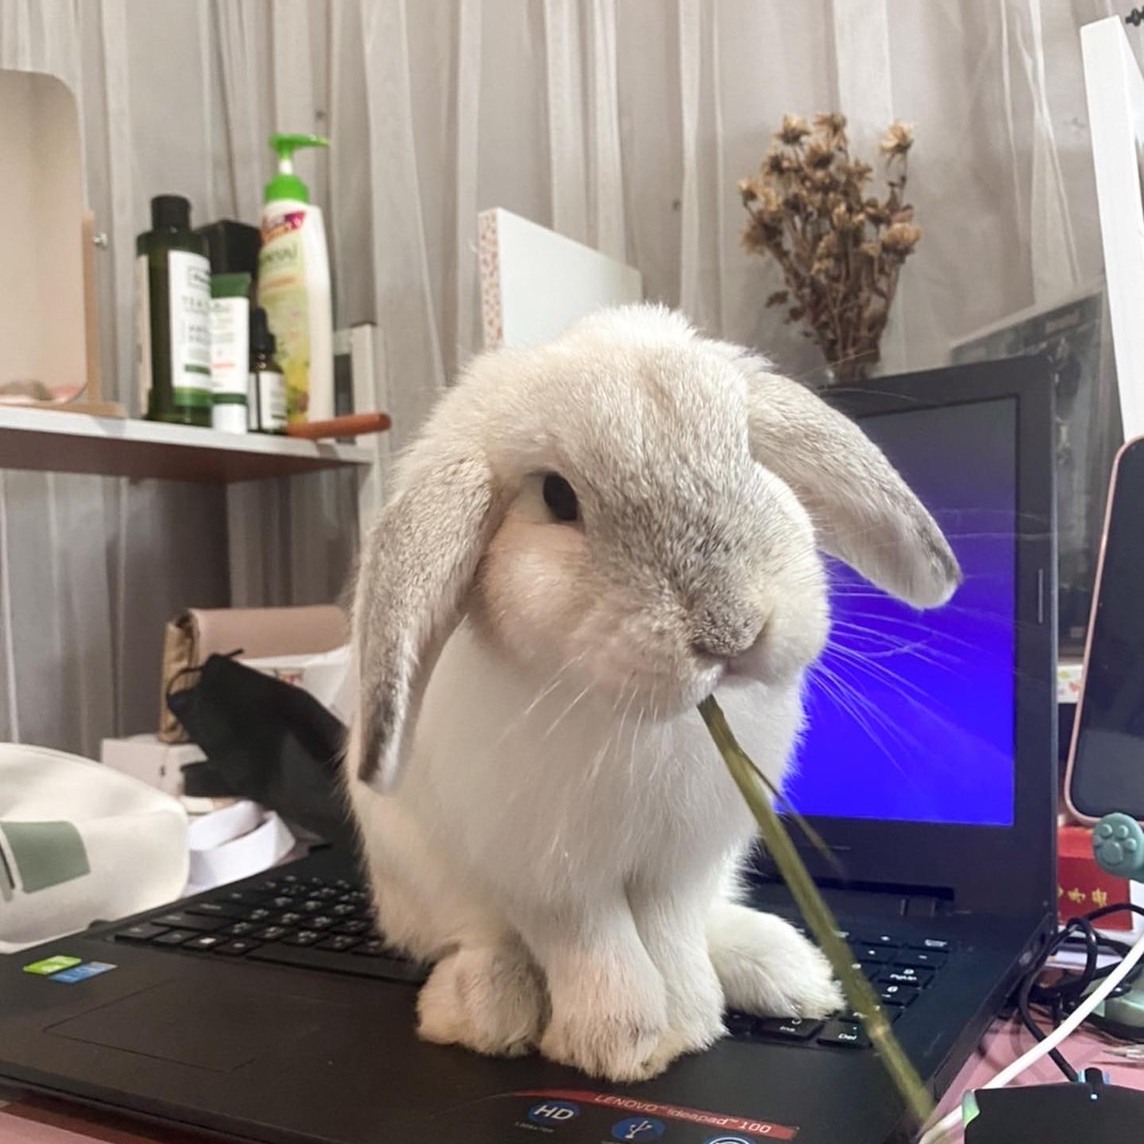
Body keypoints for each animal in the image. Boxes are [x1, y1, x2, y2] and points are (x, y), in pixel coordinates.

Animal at [343, 303, 961, 1083]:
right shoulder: (547, 875)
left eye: (749, 453)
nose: (732, 632)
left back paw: (793, 974)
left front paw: (690, 1023)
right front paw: (622, 1044)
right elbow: (595, 947)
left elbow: (672, 937)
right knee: (477, 939)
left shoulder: (682, 862)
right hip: (421, 877)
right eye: (556, 496)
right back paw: (487, 1008)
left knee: (712, 924)